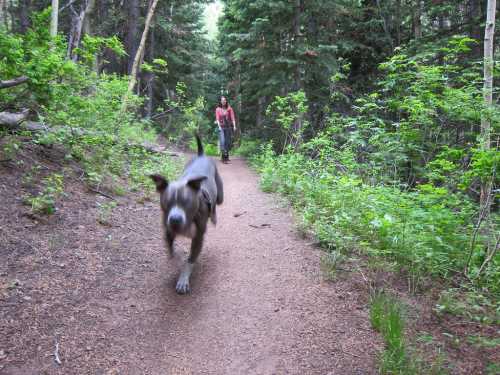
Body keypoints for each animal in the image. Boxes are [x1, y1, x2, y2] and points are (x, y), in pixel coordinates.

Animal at [149, 134, 224, 294]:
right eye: (167, 201)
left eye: (187, 202)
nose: (175, 219)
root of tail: (201, 155)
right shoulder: (168, 229)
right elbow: (170, 248)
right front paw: (175, 260)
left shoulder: (198, 237)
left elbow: (190, 260)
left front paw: (183, 279)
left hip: (220, 195)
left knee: (216, 204)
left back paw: (214, 217)